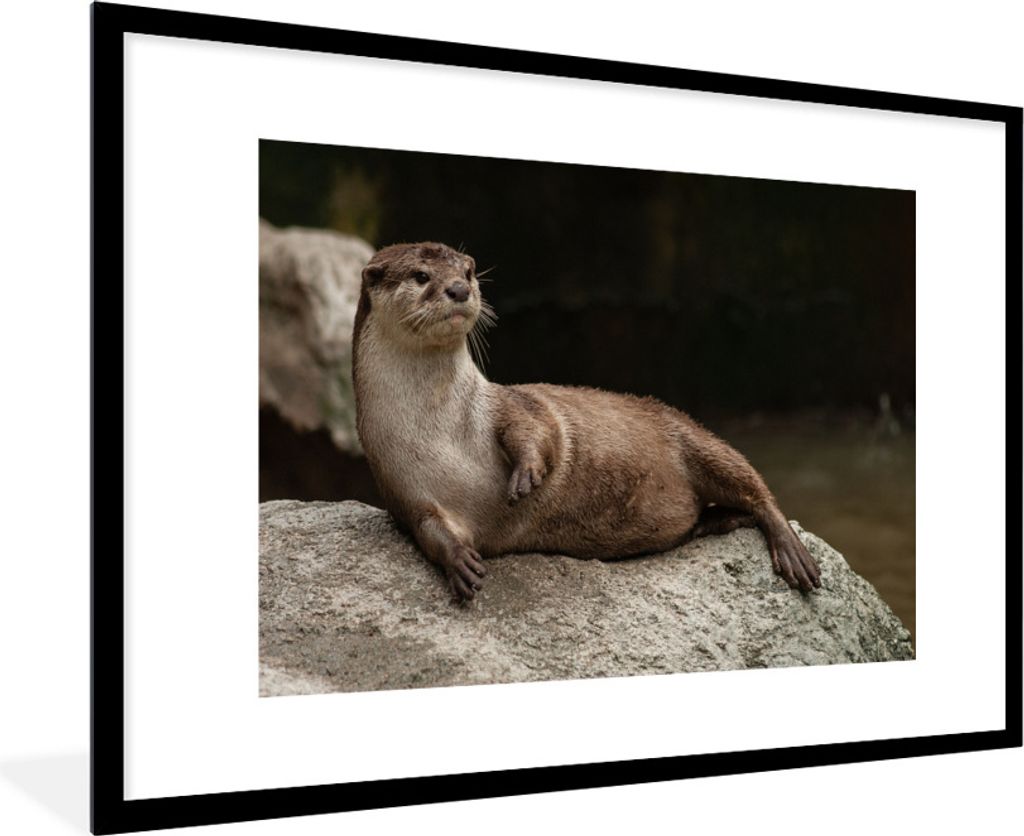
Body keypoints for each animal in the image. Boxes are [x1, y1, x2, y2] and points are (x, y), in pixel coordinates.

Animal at [352, 242, 821, 601]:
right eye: (420, 275)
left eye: (468, 270)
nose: (458, 288)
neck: (443, 430)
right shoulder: (400, 483)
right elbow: (428, 529)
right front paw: (460, 563)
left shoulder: (508, 404)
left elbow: (538, 428)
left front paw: (526, 475)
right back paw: (719, 522)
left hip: (689, 435)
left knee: (753, 486)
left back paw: (791, 551)